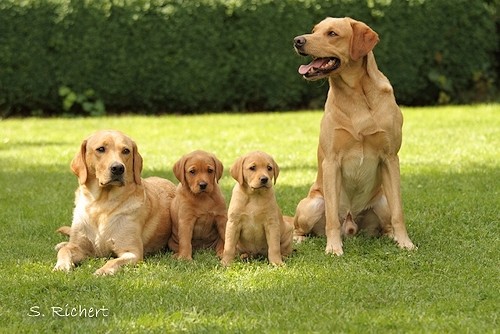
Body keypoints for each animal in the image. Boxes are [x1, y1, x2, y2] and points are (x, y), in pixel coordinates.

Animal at [53, 129, 176, 276]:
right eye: (101, 149)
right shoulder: (81, 247)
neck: (101, 204)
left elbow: (113, 261)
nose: (118, 168)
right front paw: (61, 266)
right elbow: (65, 250)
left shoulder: (132, 252)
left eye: (126, 151)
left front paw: (103, 271)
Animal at [292, 17, 414, 254]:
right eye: (314, 30)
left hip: (382, 202)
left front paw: (405, 242)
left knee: (387, 220)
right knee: (301, 227)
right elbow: (331, 218)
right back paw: (299, 239)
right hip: (311, 205)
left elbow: (399, 212)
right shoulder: (331, 161)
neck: (356, 93)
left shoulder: (390, 158)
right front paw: (333, 248)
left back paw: (391, 236)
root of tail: (350, 224)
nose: (297, 40)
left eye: (332, 33)